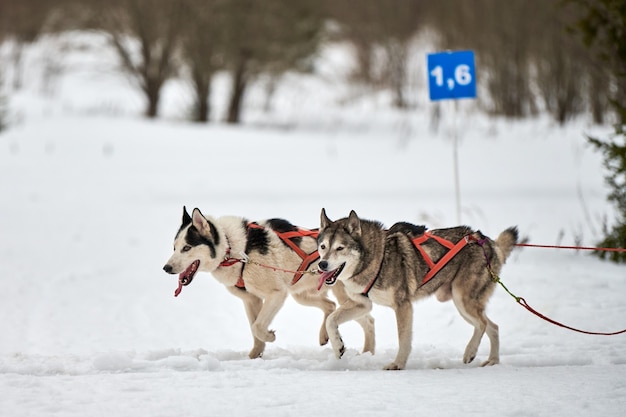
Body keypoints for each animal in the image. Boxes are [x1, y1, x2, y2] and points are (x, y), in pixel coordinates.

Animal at [163, 206, 372, 360]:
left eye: (187, 247)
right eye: (174, 248)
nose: (166, 268)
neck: (235, 248)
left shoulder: (276, 294)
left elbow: (258, 327)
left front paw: (270, 336)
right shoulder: (251, 300)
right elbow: (254, 329)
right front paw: (254, 356)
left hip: (342, 297)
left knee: (367, 319)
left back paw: (366, 353)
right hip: (301, 294)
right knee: (331, 306)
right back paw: (328, 336)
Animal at [316, 210, 516, 368]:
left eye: (340, 248)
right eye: (323, 246)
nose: (322, 264)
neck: (376, 257)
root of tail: (488, 242)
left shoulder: (402, 305)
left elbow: (403, 338)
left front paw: (398, 364)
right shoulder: (363, 304)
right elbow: (331, 320)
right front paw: (338, 347)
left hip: (462, 299)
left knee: (482, 324)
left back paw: (470, 352)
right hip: (462, 304)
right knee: (493, 327)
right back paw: (493, 360)